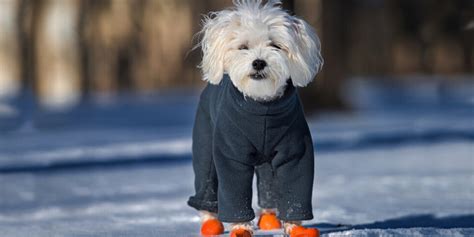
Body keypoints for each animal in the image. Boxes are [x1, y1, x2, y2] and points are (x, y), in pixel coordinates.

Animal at [187, 0, 324, 236]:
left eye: (275, 46)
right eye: (243, 47)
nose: (259, 63)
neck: (262, 106)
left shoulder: (296, 155)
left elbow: (295, 191)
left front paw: (295, 227)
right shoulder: (231, 156)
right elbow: (235, 192)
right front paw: (241, 227)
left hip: (267, 165)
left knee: (268, 187)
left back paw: (269, 218)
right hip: (205, 146)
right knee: (206, 184)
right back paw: (210, 222)